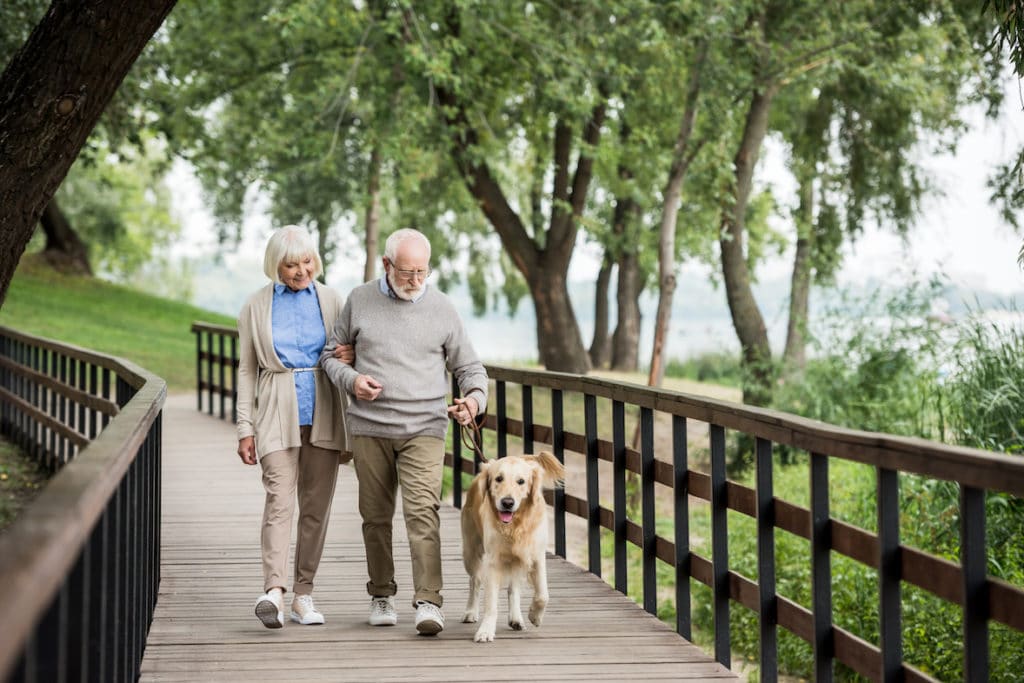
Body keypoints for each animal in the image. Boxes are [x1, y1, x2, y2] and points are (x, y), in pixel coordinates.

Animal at [460, 450, 565, 643]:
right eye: (498, 479)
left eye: (521, 481)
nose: (507, 502)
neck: (515, 526)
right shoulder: (493, 561)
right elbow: (491, 602)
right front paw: (486, 630)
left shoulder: (537, 556)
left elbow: (543, 594)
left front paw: (535, 616)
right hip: (471, 551)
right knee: (475, 580)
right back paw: (470, 611)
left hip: (517, 559)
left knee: (513, 588)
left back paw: (516, 618)